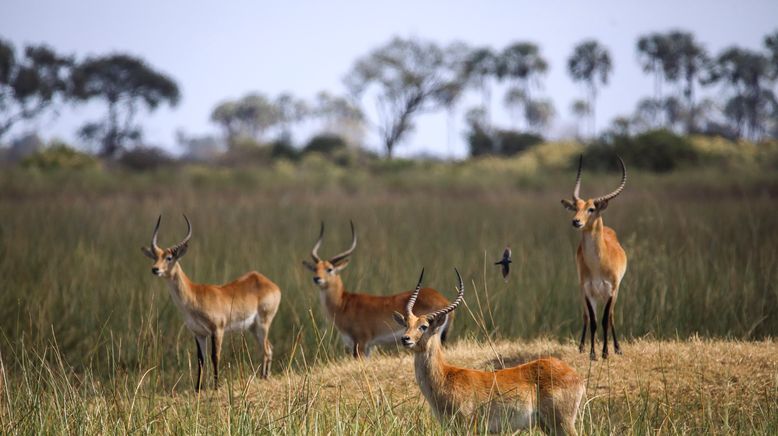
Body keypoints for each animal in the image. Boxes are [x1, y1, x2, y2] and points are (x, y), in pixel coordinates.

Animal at [142, 216, 282, 390]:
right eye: (155, 257)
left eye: (169, 258)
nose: (155, 269)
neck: (195, 295)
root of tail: (269, 283)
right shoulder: (199, 333)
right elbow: (201, 360)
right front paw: (197, 388)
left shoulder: (217, 330)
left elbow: (215, 356)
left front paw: (216, 386)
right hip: (253, 328)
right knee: (269, 348)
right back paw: (264, 378)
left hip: (263, 324)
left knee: (266, 350)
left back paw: (263, 378)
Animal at [300, 221, 452, 358]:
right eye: (315, 268)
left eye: (329, 269)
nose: (317, 278)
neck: (343, 303)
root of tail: (444, 300)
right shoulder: (367, 347)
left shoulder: (361, 343)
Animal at [394, 268, 584, 434]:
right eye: (407, 324)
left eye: (424, 326)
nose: (405, 339)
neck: (445, 376)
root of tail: (575, 375)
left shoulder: (468, 426)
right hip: (548, 426)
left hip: (562, 422)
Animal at [560, 155, 628, 360]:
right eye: (576, 207)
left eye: (591, 209)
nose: (576, 221)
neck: (598, 264)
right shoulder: (588, 290)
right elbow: (593, 321)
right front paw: (592, 353)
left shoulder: (611, 290)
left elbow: (605, 320)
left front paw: (605, 352)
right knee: (586, 316)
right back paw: (582, 347)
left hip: (613, 293)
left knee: (611, 316)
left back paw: (617, 349)